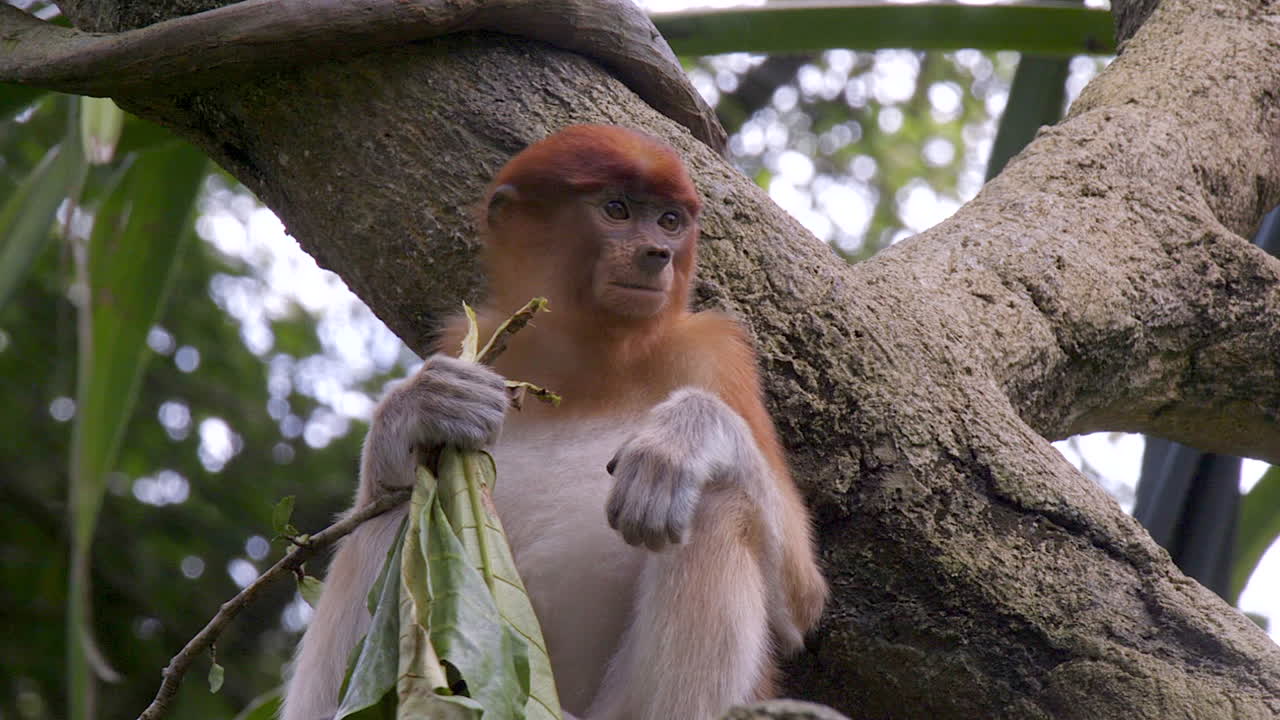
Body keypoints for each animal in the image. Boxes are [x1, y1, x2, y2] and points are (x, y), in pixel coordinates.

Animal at [282, 125, 827, 720]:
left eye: (669, 221)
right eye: (616, 209)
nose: (658, 255)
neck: (587, 364)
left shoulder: (714, 353)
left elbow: (800, 598)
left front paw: (678, 443)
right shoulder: (470, 337)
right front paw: (423, 405)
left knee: (718, 502)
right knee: (400, 514)